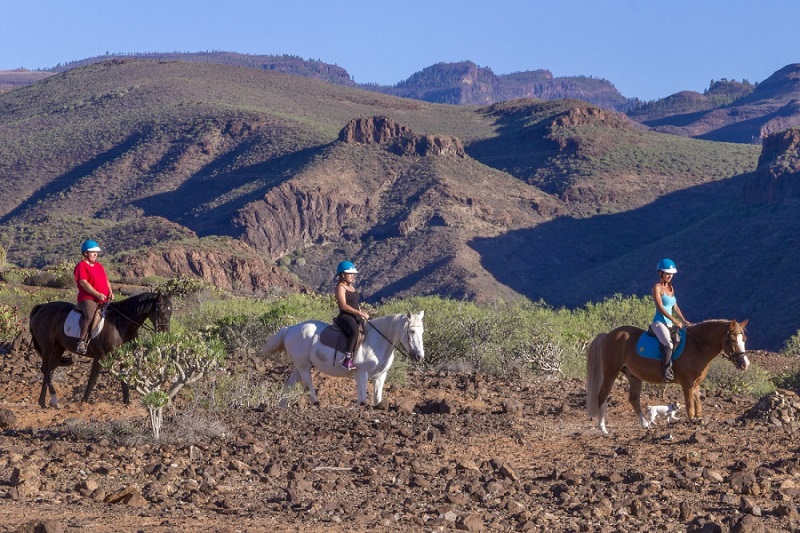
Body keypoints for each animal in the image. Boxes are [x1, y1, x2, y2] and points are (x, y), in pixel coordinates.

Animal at [29, 290, 172, 408]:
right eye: (159, 309)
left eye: (171, 311)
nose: (165, 332)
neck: (119, 324)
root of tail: (41, 307)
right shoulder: (101, 357)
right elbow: (92, 379)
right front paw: (84, 401)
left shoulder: (124, 357)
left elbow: (124, 380)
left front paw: (126, 402)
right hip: (48, 348)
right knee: (46, 370)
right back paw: (54, 400)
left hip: (58, 349)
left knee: (50, 371)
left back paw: (42, 402)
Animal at [260, 310, 424, 406]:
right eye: (411, 331)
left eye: (422, 332)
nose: (419, 356)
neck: (377, 340)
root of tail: (290, 329)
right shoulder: (361, 373)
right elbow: (362, 399)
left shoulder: (380, 376)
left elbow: (377, 400)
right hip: (304, 367)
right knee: (309, 386)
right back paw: (316, 404)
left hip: (299, 366)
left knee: (288, 385)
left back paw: (282, 407)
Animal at [584, 318, 748, 434]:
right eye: (732, 339)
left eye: (744, 339)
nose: (744, 364)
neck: (698, 346)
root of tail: (608, 335)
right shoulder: (687, 384)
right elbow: (690, 408)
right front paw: (691, 423)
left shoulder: (695, 384)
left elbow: (698, 407)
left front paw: (699, 421)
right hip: (611, 372)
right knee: (602, 396)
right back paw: (603, 429)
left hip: (633, 376)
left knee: (634, 399)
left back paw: (645, 424)